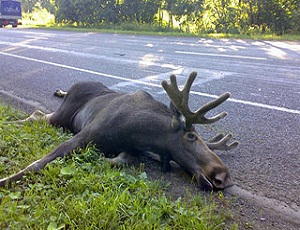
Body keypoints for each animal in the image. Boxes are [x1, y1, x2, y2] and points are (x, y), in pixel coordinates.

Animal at [0, 72, 239, 190]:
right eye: (191, 136)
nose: (223, 175)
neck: (140, 132)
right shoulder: (85, 135)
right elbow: (37, 163)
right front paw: (6, 180)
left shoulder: (133, 149)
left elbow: (124, 159)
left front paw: (100, 160)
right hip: (63, 116)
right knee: (37, 115)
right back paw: (10, 124)